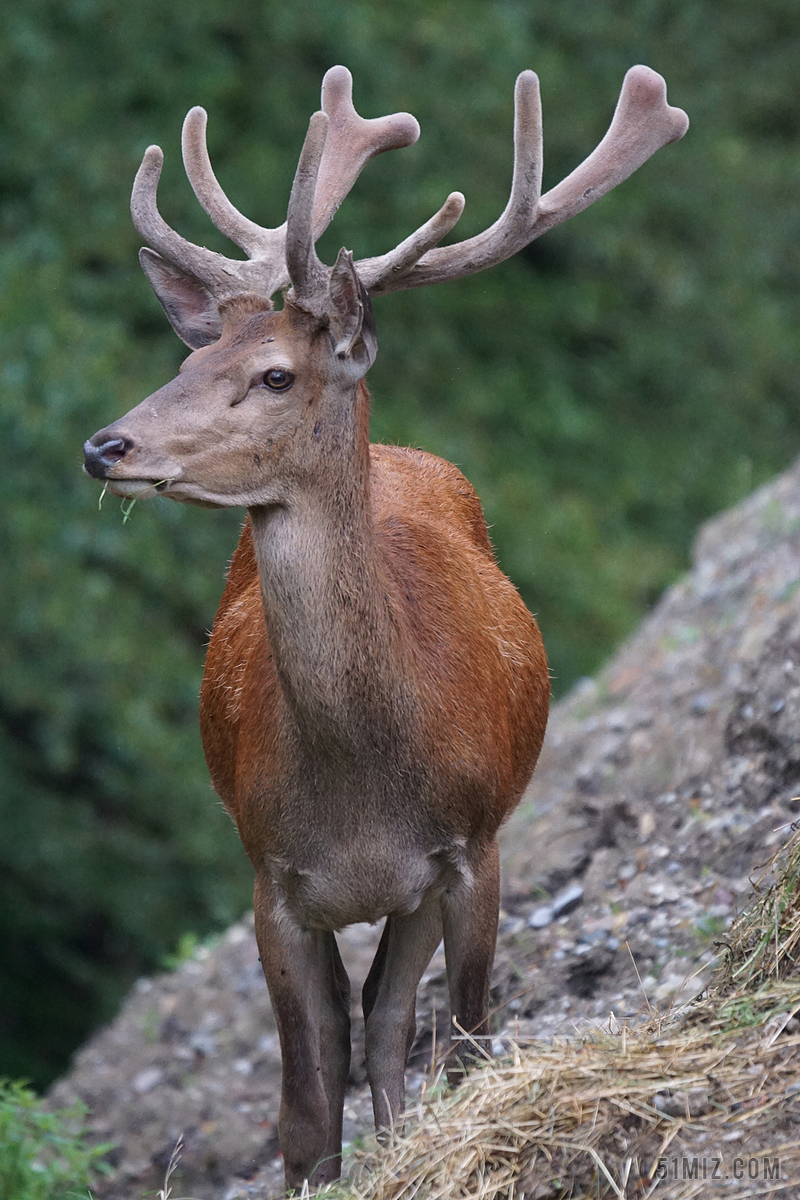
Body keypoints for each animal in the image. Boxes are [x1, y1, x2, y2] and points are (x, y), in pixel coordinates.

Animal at [84, 63, 690, 1180]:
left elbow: (464, 1039)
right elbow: (302, 1105)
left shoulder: (471, 845)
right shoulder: (270, 876)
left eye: (275, 374)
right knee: (358, 1026)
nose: (108, 445)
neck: (363, 787)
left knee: (390, 1019)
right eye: (187, 363)